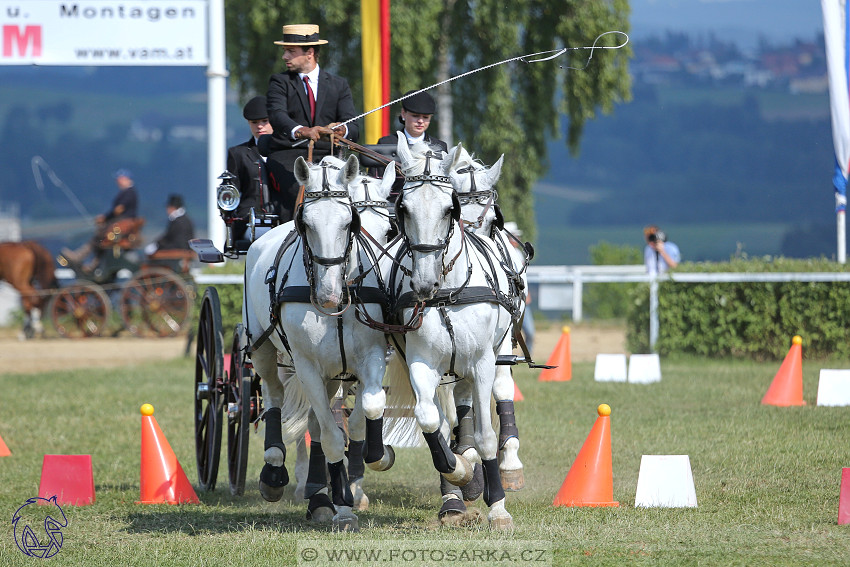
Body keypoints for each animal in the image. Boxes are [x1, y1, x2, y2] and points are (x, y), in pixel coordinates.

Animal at [242, 154, 394, 532]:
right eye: (306, 224)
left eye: (348, 222)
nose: (328, 296)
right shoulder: (307, 366)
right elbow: (331, 437)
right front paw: (343, 506)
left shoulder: (369, 359)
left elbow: (365, 414)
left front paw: (371, 460)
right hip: (263, 348)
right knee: (274, 397)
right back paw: (276, 472)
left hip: (330, 375)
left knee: (315, 419)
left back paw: (319, 495)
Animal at [384, 136, 516, 528]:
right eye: (403, 208)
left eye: (448, 209)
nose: (424, 283)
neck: (447, 294)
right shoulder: (420, 362)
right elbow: (431, 423)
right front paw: (460, 476)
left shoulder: (483, 361)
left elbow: (486, 436)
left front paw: (498, 506)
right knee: (450, 414)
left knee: (490, 395)